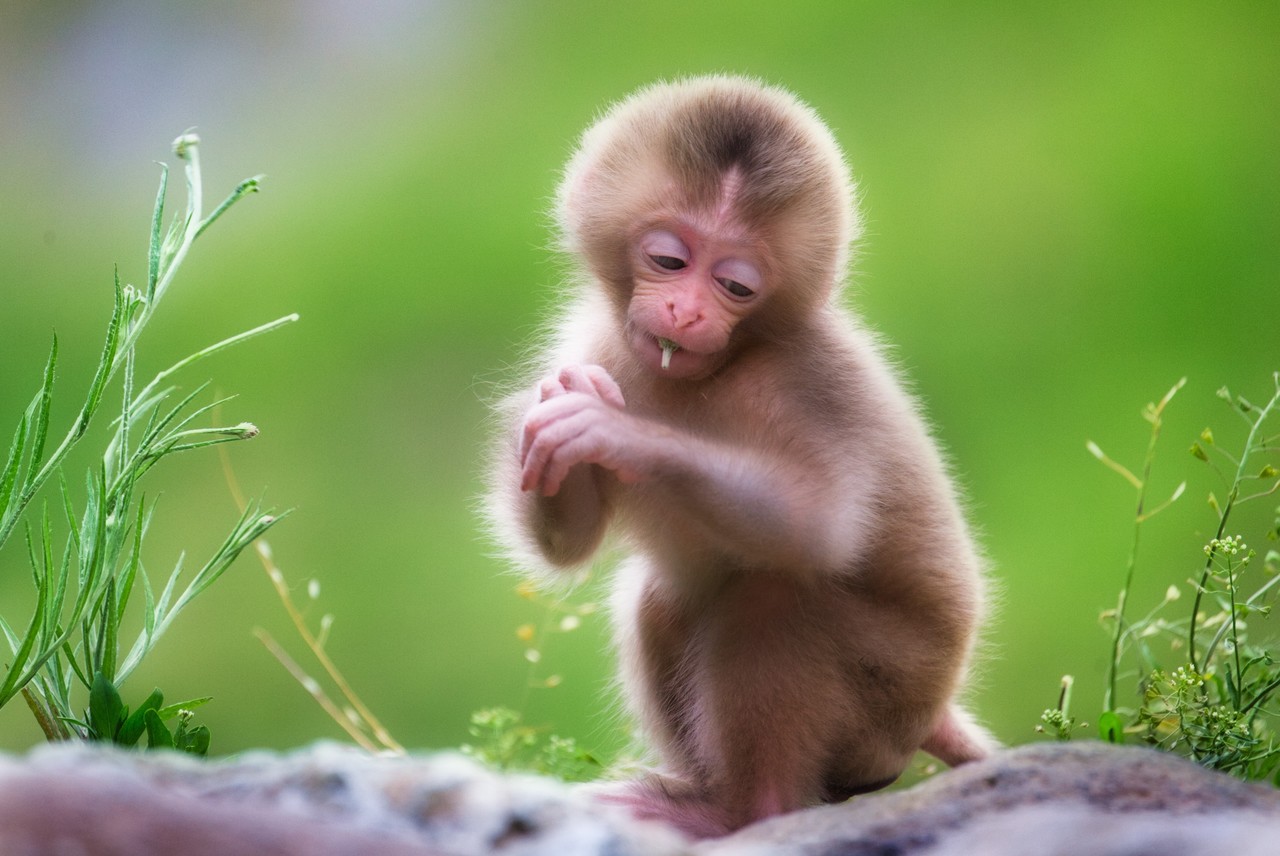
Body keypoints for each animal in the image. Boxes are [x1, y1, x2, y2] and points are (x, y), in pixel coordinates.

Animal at [483, 76, 993, 839]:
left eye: (736, 286)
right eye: (669, 259)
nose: (687, 313)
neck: (716, 368)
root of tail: (932, 712)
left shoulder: (814, 379)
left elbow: (818, 525)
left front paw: (618, 432)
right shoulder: (595, 342)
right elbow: (567, 542)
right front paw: (560, 418)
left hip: (893, 692)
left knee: (772, 594)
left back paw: (743, 812)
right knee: (662, 602)